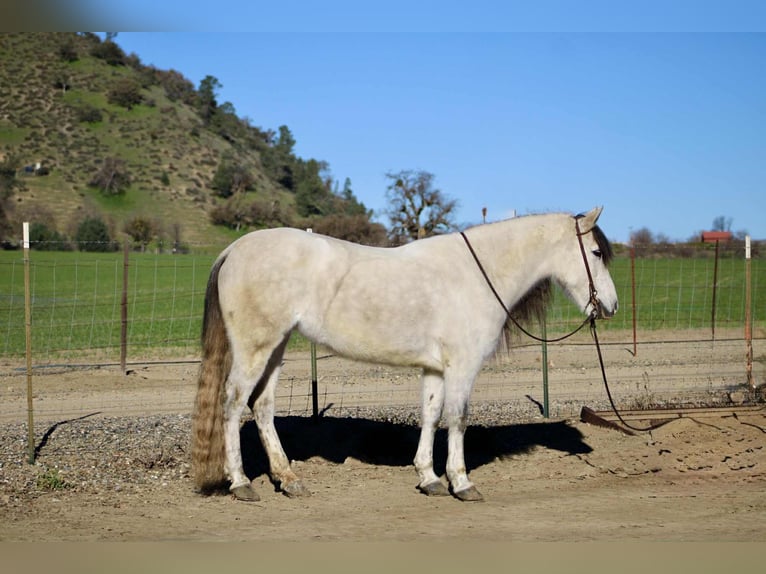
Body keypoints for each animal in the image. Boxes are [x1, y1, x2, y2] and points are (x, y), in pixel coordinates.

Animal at [191, 206, 618, 502]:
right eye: (596, 252)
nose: (611, 306)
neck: (478, 274)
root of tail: (235, 248)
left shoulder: (435, 369)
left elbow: (430, 416)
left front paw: (429, 479)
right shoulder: (462, 367)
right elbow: (457, 419)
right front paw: (461, 483)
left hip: (275, 348)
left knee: (262, 407)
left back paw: (290, 480)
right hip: (255, 349)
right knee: (233, 404)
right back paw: (241, 483)